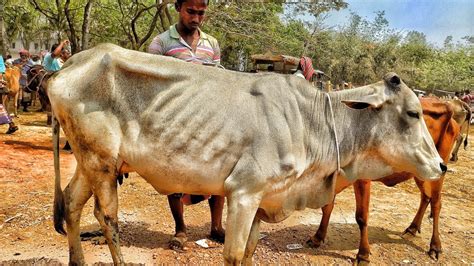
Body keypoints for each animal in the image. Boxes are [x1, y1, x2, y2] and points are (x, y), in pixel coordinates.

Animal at [48, 43, 444, 264]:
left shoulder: (263, 199)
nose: (441, 165)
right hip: (101, 162)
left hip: (91, 162)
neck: (313, 121)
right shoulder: (243, 193)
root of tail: (72, 62)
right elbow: (235, 255)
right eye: (413, 113)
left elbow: (251, 252)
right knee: (106, 217)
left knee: (71, 204)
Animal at [308, 96, 460, 262]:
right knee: (426, 197)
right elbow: (327, 207)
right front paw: (317, 238)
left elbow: (361, 217)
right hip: (421, 173)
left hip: (439, 170)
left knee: (437, 203)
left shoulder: (362, 178)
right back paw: (412, 229)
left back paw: (435, 246)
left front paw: (363, 255)